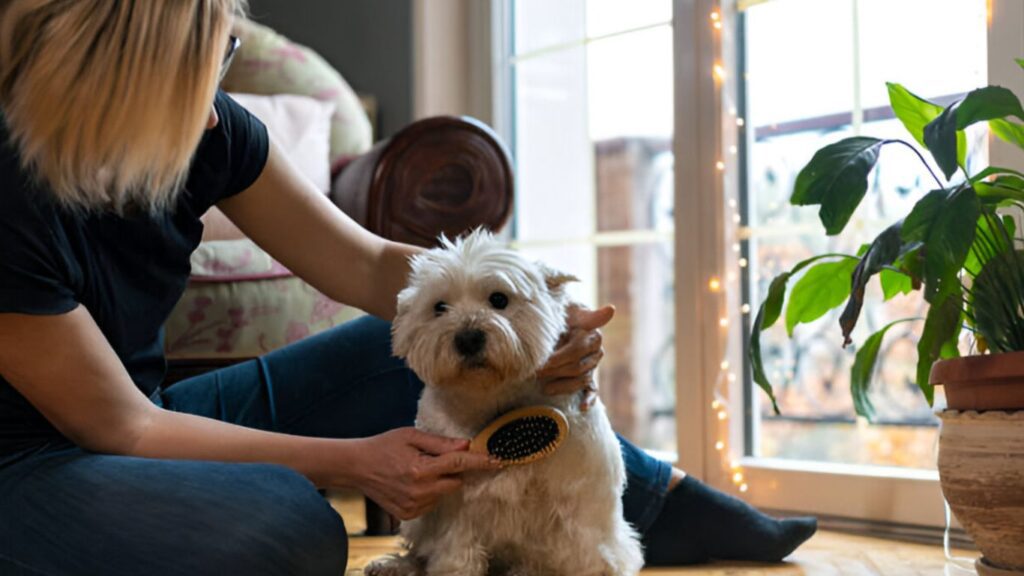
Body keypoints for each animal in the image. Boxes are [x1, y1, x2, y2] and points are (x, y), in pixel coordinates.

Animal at [366, 228, 638, 573]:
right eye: (439, 307)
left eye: (499, 299)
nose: (468, 339)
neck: (494, 397)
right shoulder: (454, 506)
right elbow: (456, 552)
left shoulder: (578, 509)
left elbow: (587, 555)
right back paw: (393, 565)